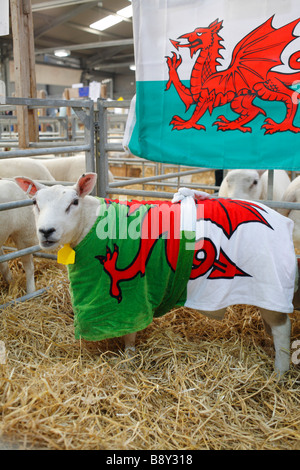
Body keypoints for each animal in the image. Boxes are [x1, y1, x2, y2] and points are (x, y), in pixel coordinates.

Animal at [14, 174, 300, 376]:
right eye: (34, 203)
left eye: (73, 202)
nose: (46, 231)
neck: (90, 225)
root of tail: (282, 221)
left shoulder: (130, 297)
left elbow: (129, 332)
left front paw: (128, 359)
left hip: (270, 283)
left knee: (282, 327)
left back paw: (279, 372)